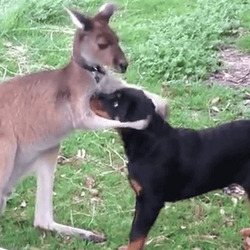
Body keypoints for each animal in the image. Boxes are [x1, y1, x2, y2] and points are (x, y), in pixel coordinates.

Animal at [91, 88, 250, 250]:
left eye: (116, 103)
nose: (92, 94)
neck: (148, 142)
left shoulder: (150, 201)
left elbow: (137, 234)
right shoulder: (141, 199)